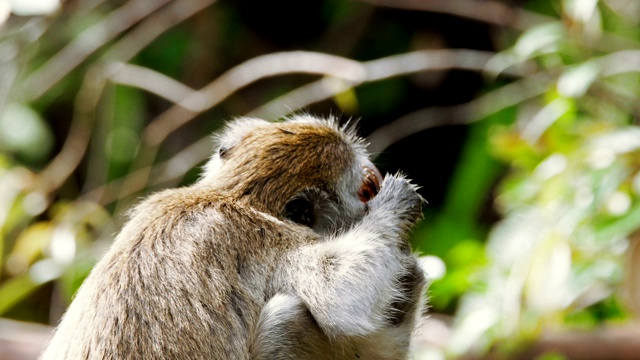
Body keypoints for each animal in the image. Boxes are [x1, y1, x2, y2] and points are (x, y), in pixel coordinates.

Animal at [42, 115, 428, 360]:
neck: (237, 196)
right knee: (289, 317)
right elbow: (340, 296)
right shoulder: (268, 239)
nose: (374, 173)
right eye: (366, 190)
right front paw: (396, 204)